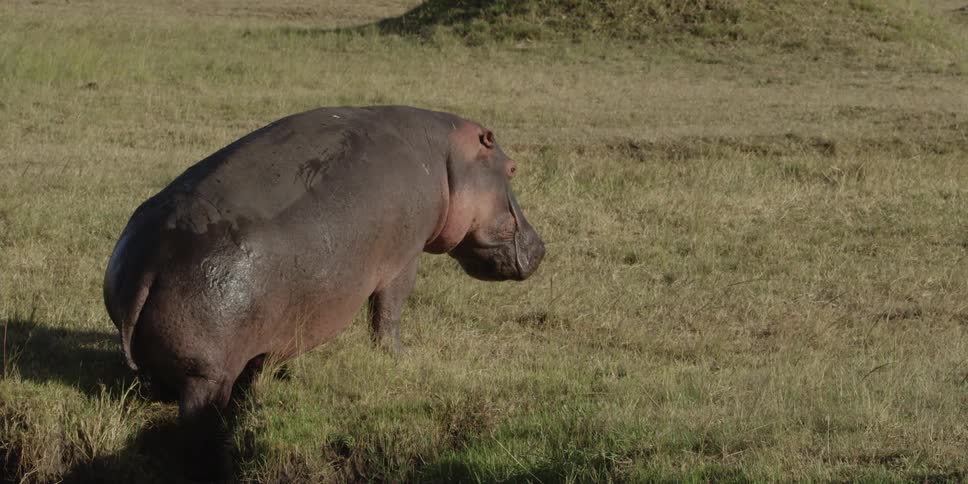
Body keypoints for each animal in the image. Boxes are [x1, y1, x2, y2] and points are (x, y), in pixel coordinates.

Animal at [102, 105, 544, 468]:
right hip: (206, 376)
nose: (541, 246)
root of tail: (150, 259)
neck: (448, 158)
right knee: (198, 422)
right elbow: (389, 311)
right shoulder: (403, 259)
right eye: (512, 169)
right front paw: (397, 359)